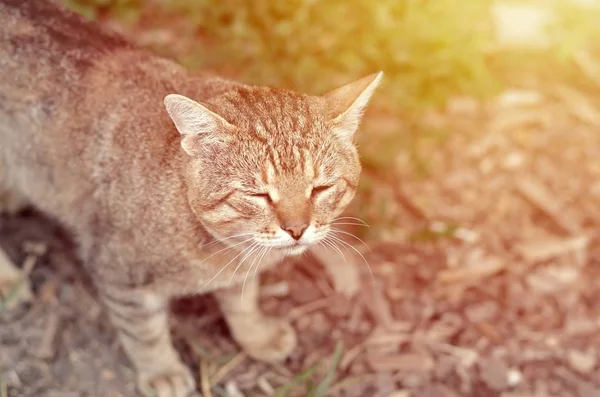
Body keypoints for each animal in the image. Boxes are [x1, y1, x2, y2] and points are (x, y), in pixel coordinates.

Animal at [0, 0, 382, 396]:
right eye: (258, 194)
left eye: (320, 188)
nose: (297, 228)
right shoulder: (119, 275)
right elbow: (144, 332)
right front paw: (161, 370)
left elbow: (243, 301)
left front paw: (256, 335)